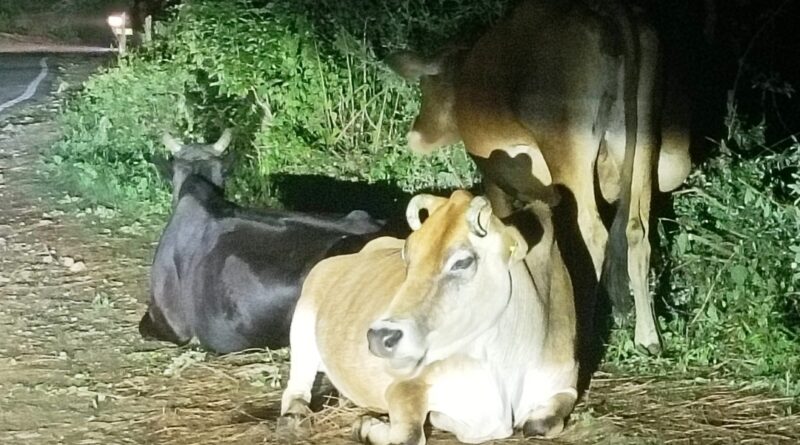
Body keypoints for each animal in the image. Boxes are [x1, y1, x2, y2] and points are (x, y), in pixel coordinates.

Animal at [280, 190, 578, 444]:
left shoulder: (563, 385)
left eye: (462, 262)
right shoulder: (405, 386)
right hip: (303, 326)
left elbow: (540, 423)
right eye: (408, 257)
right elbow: (412, 434)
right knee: (295, 388)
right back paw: (296, 413)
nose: (380, 336)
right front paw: (367, 427)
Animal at [386, 0, 692, 355]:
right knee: (635, 231)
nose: (416, 135)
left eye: (427, 86)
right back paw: (647, 336)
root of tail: (609, 13)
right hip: (642, 136)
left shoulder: (496, 184)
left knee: (592, 234)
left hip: (568, 147)